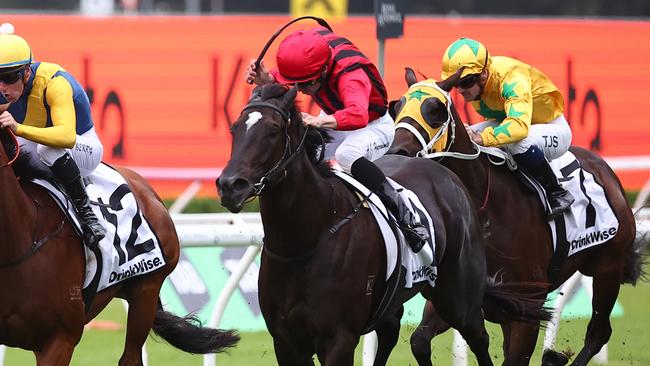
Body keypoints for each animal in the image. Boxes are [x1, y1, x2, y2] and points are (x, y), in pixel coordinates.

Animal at [216, 83, 548, 366]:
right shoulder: (285, 341)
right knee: (390, 334)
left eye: (272, 131)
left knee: (478, 337)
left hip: (458, 297)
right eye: (234, 128)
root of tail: (444, 171)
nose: (230, 185)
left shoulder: (338, 339)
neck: (306, 239)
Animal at [384, 68, 644, 366]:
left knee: (598, 332)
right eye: (397, 108)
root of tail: (607, 172)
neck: (483, 209)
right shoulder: (458, 297)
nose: (398, 152)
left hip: (607, 270)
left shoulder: (527, 309)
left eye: (435, 110)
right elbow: (420, 341)